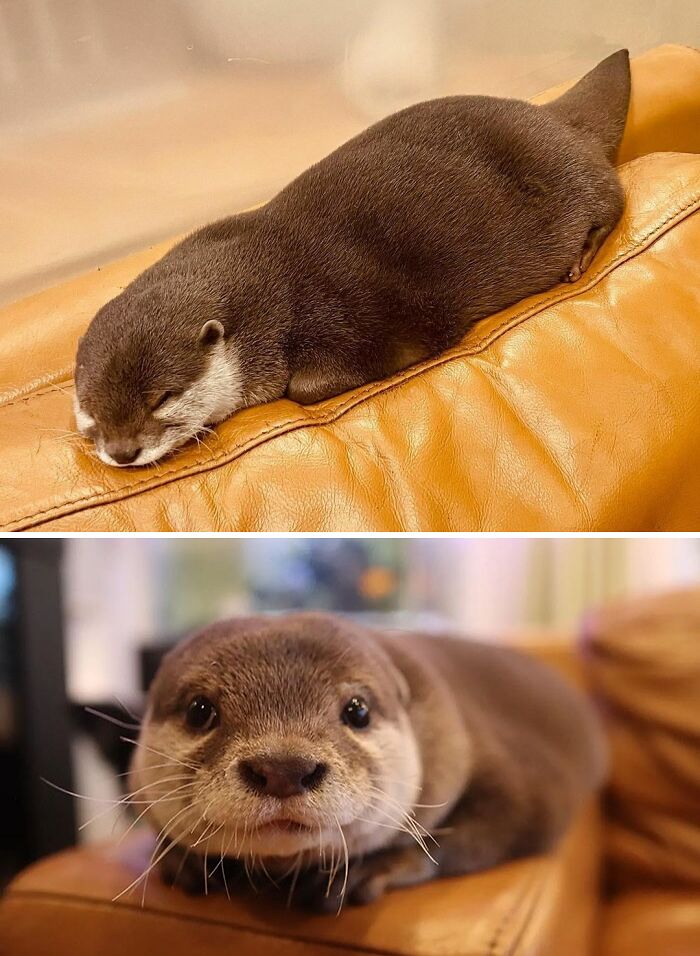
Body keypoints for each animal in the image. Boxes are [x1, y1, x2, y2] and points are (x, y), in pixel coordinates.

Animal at [75, 51, 631, 467]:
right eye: (90, 409)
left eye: (162, 398)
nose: (122, 452)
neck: (271, 286)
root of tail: (556, 117)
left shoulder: (355, 313)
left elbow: (310, 384)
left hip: (570, 175)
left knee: (613, 199)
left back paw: (580, 258)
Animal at [128, 612, 606, 910]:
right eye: (199, 710)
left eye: (357, 710)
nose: (283, 769)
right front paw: (185, 859)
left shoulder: (519, 780)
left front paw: (369, 868)